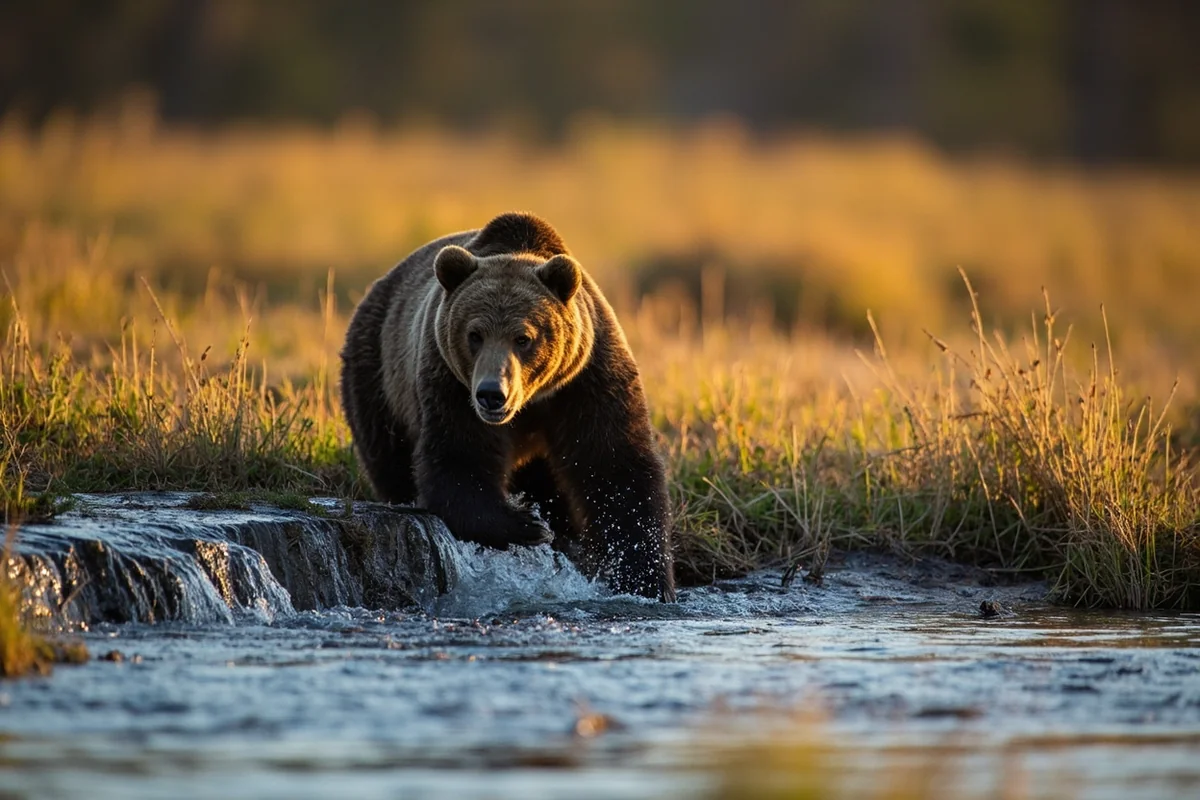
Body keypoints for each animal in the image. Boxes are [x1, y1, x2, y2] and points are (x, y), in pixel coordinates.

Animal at [340, 212, 675, 601]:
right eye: (475, 334)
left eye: (524, 338)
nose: (491, 393)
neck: (532, 402)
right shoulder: (450, 385)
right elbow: (459, 458)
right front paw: (528, 525)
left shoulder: (588, 380)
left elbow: (615, 465)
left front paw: (646, 579)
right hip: (378, 371)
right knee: (388, 454)